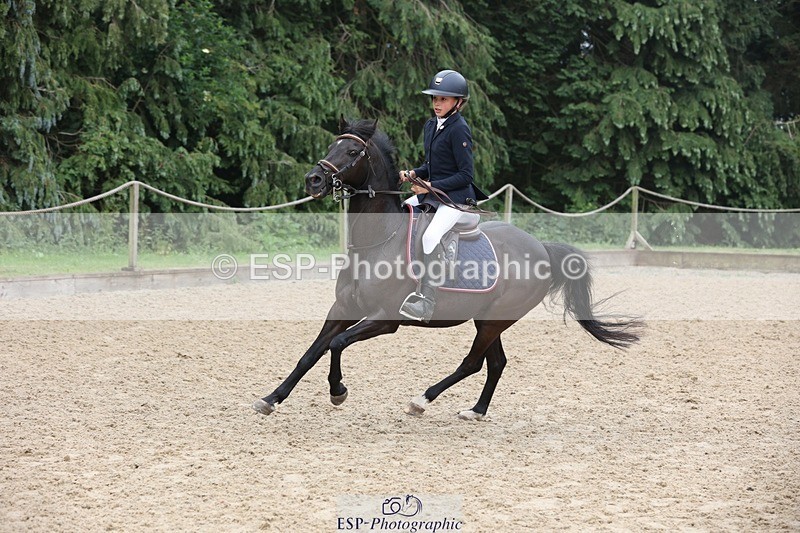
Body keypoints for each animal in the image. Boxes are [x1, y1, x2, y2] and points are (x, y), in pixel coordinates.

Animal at [253, 117, 642, 421]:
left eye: (352, 153)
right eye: (332, 145)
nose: (314, 181)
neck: (378, 241)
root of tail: (541, 248)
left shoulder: (385, 319)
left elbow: (336, 344)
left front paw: (338, 391)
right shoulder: (343, 307)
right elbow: (312, 352)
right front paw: (271, 399)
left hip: (495, 319)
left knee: (472, 362)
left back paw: (420, 401)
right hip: (487, 319)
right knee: (495, 363)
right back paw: (476, 410)